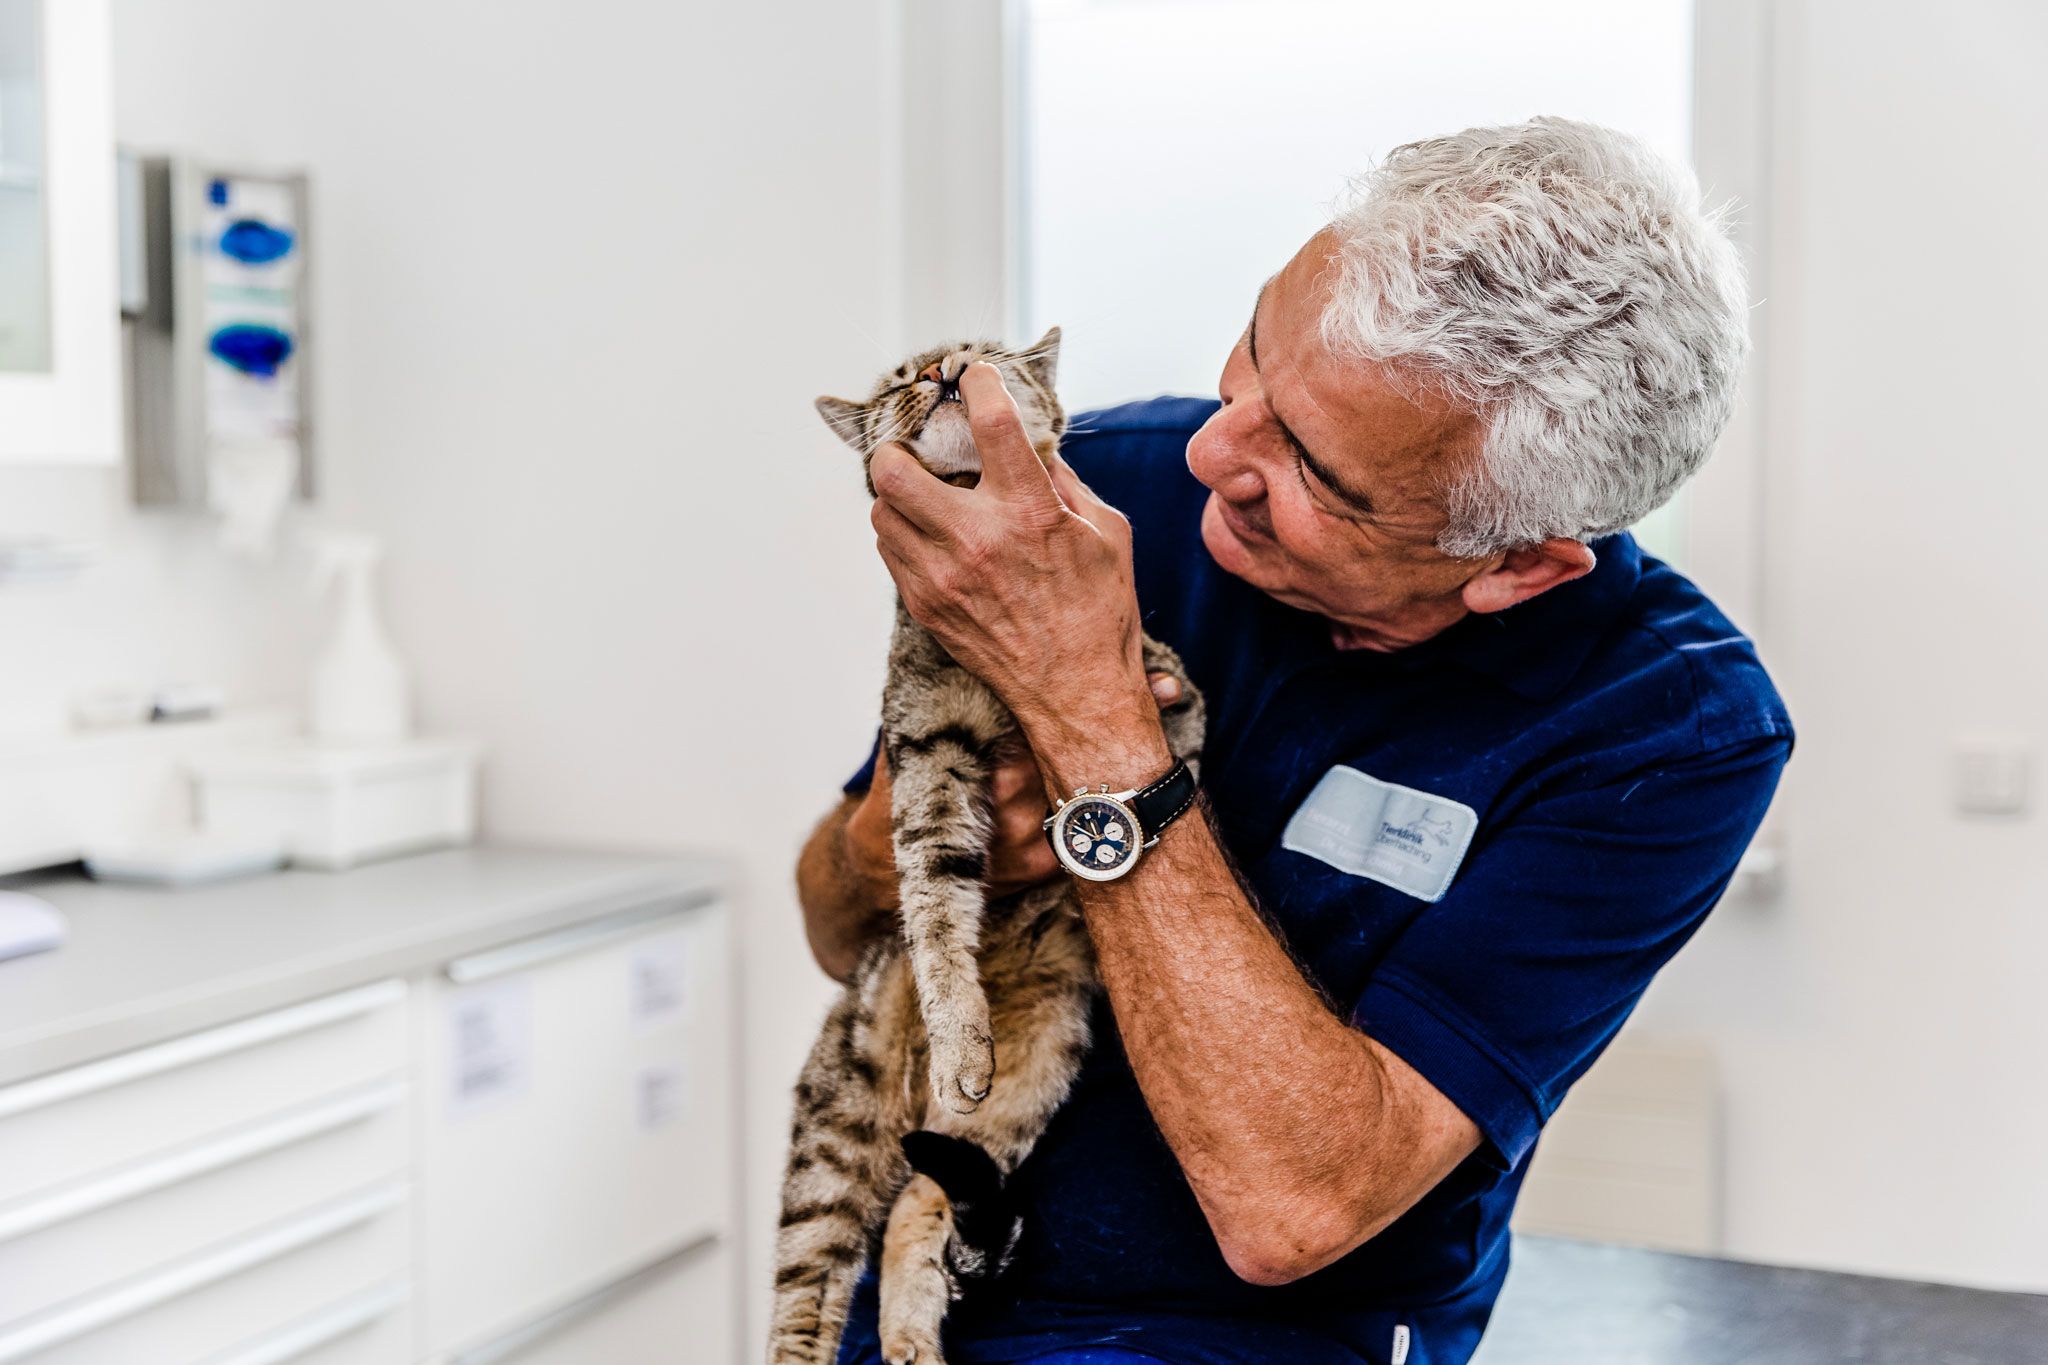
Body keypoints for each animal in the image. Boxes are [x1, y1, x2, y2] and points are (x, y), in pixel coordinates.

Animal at [770, 333, 1196, 1365]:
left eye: (983, 351)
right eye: (900, 379)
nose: (943, 370)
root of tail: (907, 1108)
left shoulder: (1141, 679)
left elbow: (1171, 706)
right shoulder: (929, 759)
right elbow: (935, 909)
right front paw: (962, 1023)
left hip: (1017, 1101)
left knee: (916, 1218)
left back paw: (912, 1342)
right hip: (828, 1150)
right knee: (805, 1297)